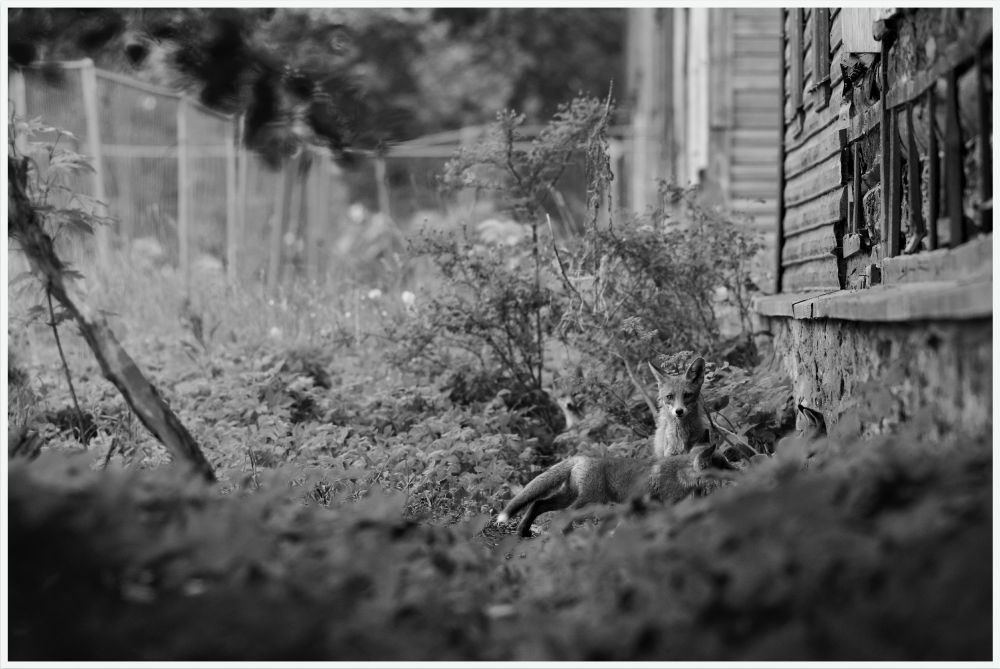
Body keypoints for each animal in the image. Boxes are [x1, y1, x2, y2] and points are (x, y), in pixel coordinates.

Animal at [497, 443, 730, 537]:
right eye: (723, 465)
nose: (737, 469)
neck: (680, 473)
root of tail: (580, 458)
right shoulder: (665, 504)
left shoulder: (639, 508)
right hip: (589, 501)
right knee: (563, 513)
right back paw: (567, 534)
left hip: (568, 496)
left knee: (538, 503)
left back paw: (524, 531)